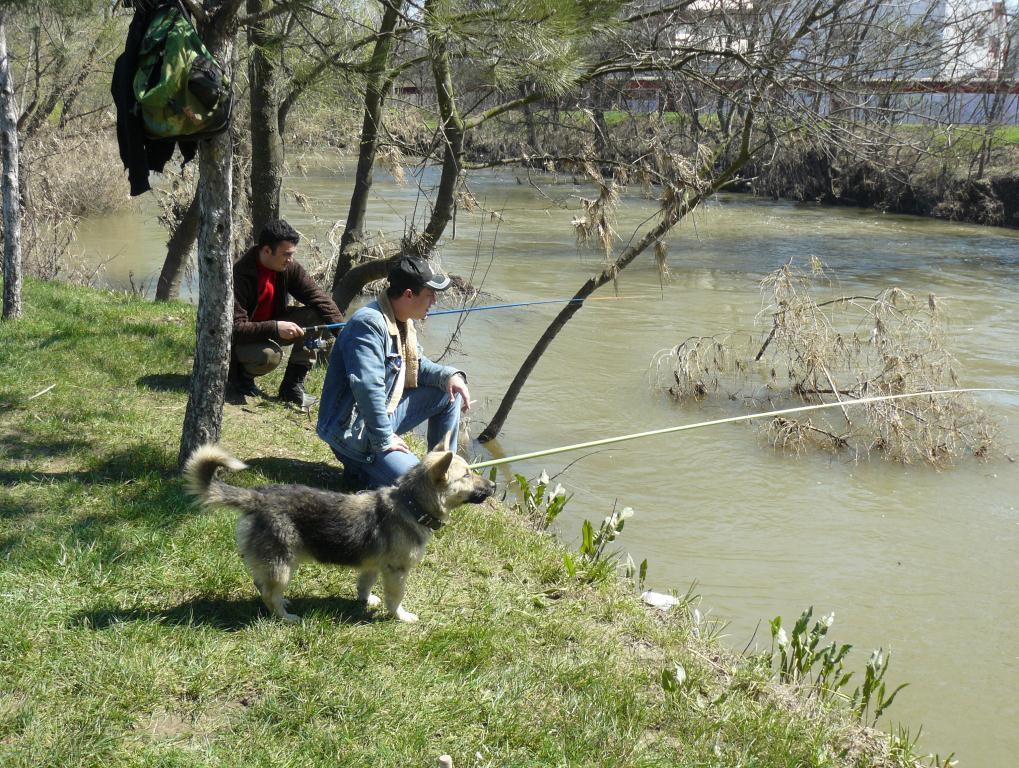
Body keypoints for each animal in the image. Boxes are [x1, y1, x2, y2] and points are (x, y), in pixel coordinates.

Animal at [190, 435, 497, 623]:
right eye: (467, 474)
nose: (494, 486)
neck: (411, 505)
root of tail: (257, 496)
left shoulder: (373, 565)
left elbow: (364, 584)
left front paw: (365, 600)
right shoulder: (397, 572)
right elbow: (395, 598)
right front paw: (400, 617)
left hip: (278, 563)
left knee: (262, 584)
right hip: (283, 565)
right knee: (268, 594)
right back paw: (285, 617)